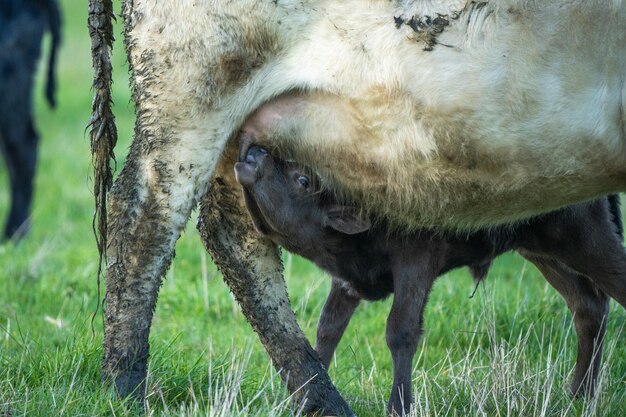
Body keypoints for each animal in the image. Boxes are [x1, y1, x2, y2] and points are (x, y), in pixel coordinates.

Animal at [233, 145, 624, 414]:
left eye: (302, 179)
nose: (254, 153)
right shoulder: (346, 282)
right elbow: (327, 330)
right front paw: (305, 400)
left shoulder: (416, 263)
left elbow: (400, 330)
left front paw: (398, 406)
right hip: (544, 253)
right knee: (587, 306)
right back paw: (578, 395)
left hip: (586, 241)